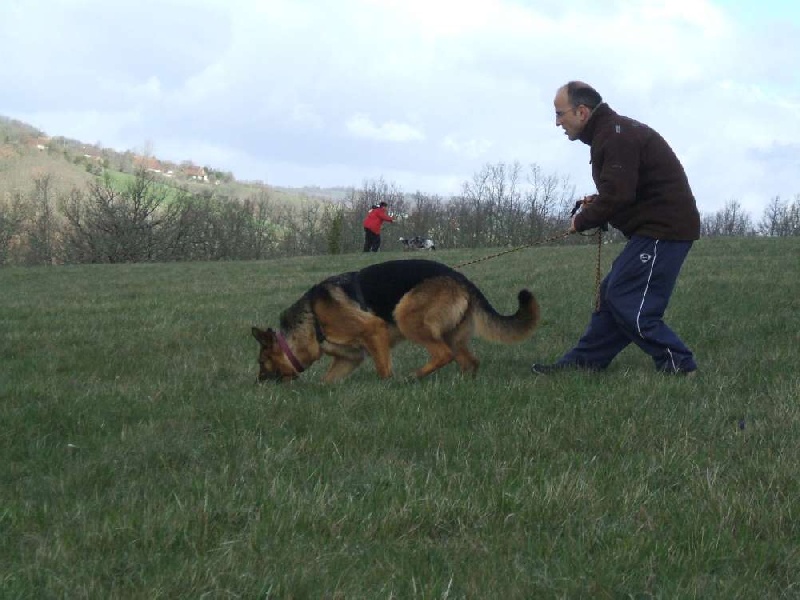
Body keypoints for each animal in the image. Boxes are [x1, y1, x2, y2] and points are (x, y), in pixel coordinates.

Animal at [250, 256, 536, 380]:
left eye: (262, 363)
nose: (260, 383)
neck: (312, 319)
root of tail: (461, 278)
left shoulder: (374, 330)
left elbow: (383, 371)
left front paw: (386, 387)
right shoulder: (349, 359)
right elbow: (326, 381)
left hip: (406, 316)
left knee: (443, 354)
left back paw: (413, 377)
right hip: (452, 335)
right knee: (469, 361)